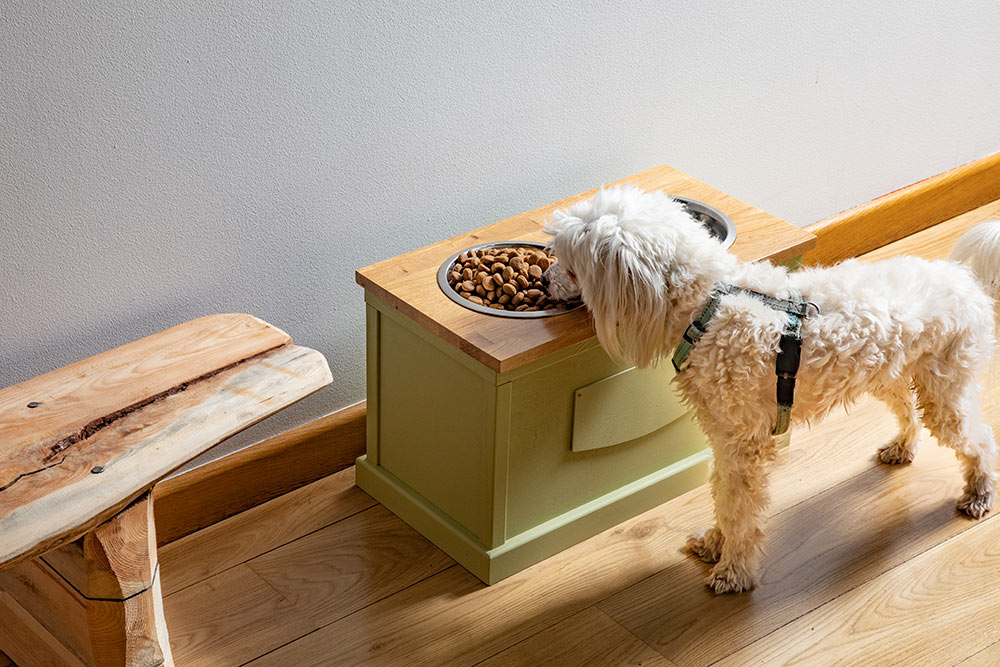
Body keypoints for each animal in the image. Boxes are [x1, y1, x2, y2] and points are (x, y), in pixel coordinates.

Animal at [544, 184, 1000, 596]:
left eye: (568, 262)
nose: (546, 282)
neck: (708, 303)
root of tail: (967, 281)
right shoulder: (725, 439)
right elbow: (722, 497)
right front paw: (715, 544)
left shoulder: (743, 444)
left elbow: (738, 509)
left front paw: (733, 573)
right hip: (890, 376)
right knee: (909, 412)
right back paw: (902, 448)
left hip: (946, 392)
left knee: (981, 441)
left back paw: (979, 494)